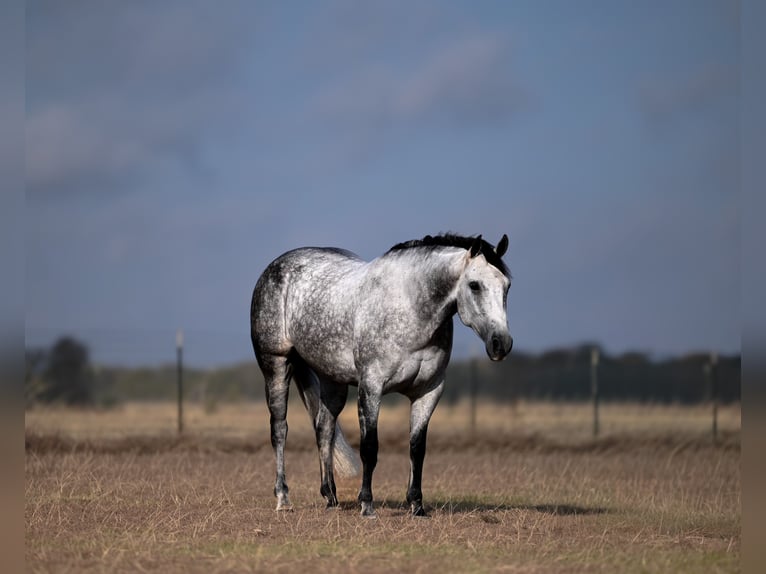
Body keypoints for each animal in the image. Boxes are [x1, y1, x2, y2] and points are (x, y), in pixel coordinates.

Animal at [250, 233, 513, 517]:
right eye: (475, 285)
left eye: (507, 286)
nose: (501, 344)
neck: (411, 308)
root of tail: (275, 267)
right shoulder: (372, 388)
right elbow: (370, 447)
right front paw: (367, 505)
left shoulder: (428, 391)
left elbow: (417, 448)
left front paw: (417, 505)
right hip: (276, 365)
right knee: (279, 429)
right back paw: (283, 498)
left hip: (332, 380)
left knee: (324, 430)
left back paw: (331, 498)